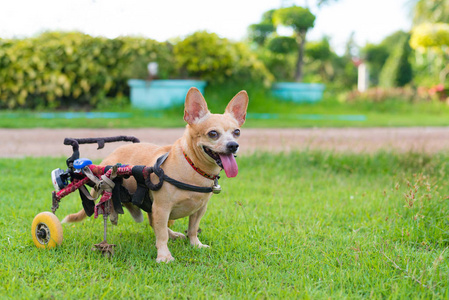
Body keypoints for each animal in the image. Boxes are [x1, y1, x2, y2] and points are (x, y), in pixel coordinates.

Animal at [62, 87, 248, 262]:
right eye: (213, 134)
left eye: (237, 132)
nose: (233, 145)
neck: (193, 167)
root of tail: (106, 159)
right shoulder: (162, 208)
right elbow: (161, 234)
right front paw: (164, 256)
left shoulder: (199, 209)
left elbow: (193, 228)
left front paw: (196, 245)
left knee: (156, 223)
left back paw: (173, 234)